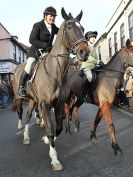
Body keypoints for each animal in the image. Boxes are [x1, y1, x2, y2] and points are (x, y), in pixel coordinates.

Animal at [10, 7, 89, 171]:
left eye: (83, 28)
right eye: (69, 27)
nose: (84, 52)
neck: (56, 71)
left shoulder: (59, 104)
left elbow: (57, 128)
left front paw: (46, 140)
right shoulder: (45, 104)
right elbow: (50, 129)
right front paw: (55, 159)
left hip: (33, 100)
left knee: (28, 115)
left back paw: (26, 137)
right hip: (20, 97)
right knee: (20, 112)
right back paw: (20, 128)